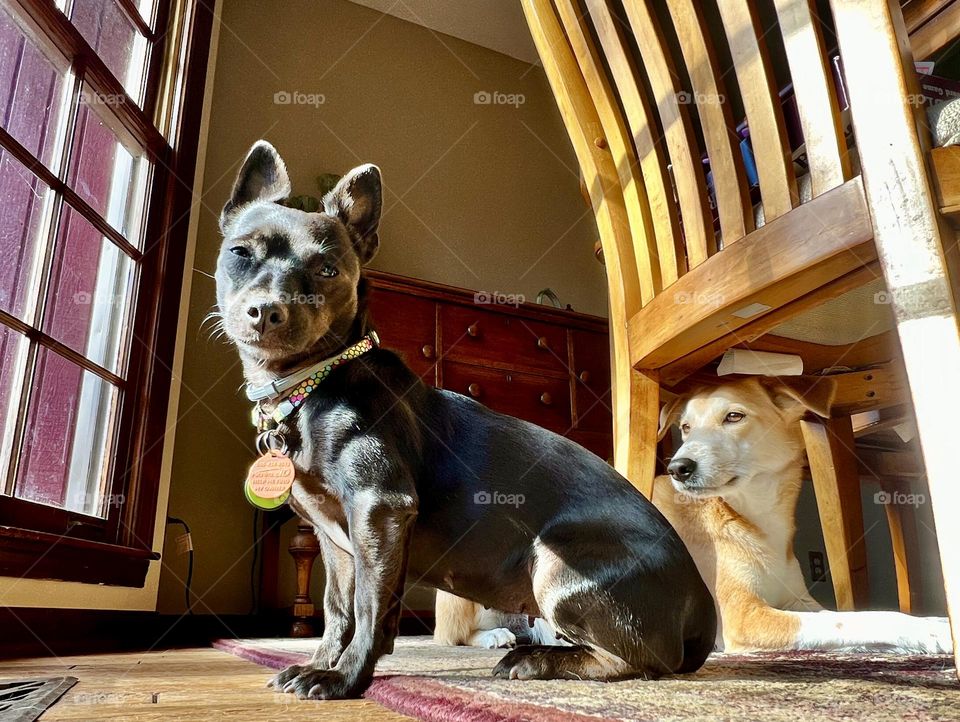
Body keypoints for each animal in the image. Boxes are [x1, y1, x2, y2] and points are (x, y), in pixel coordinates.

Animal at [216, 141, 712, 696]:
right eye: (240, 253)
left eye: (327, 271)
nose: (268, 310)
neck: (311, 384)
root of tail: (702, 615)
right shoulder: (335, 539)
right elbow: (337, 609)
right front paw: (319, 663)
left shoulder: (379, 508)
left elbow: (367, 609)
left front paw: (344, 678)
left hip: (554, 560)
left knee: (642, 660)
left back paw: (536, 659)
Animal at [652, 376, 952, 652]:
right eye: (686, 428)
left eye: (734, 416)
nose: (678, 468)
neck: (759, 520)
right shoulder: (742, 617)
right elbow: (850, 620)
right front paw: (930, 632)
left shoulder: (796, 599)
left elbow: (839, 614)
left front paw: (934, 622)